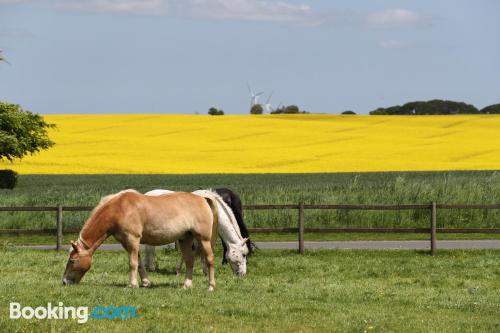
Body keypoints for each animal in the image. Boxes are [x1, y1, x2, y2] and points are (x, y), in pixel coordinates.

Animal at [62, 189, 219, 290]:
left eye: (72, 260)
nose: (64, 281)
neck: (119, 209)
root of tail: (203, 199)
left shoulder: (132, 240)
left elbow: (132, 263)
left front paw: (132, 284)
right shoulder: (126, 243)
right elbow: (139, 263)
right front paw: (145, 283)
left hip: (203, 239)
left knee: (210, 259)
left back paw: (211, 286)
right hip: (185, 239)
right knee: (189, 261)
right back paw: (186, 285)